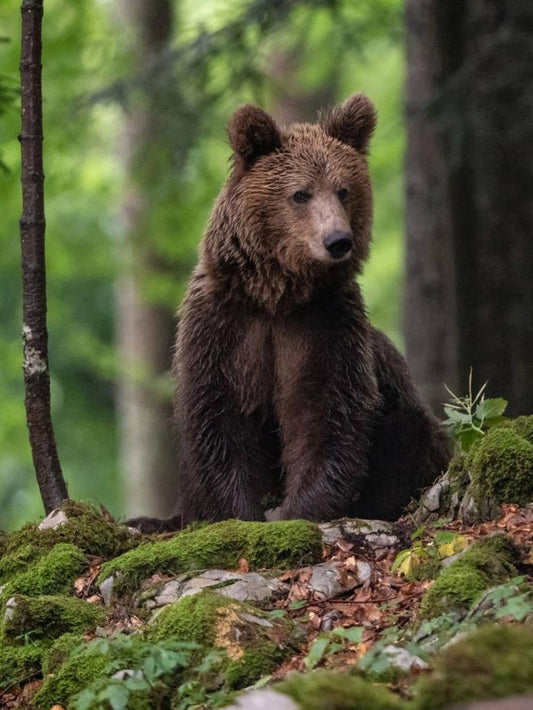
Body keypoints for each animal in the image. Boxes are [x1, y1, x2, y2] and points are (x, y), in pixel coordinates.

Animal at [130, 93, 450, 532]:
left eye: (343, 190)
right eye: (301, 194)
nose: (338, 240)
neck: (278, 296)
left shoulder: (324, 326)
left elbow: (325, 414)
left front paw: (296, 510)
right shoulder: (224, 325)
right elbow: (219, 415)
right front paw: (241, 513)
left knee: (409, 430)